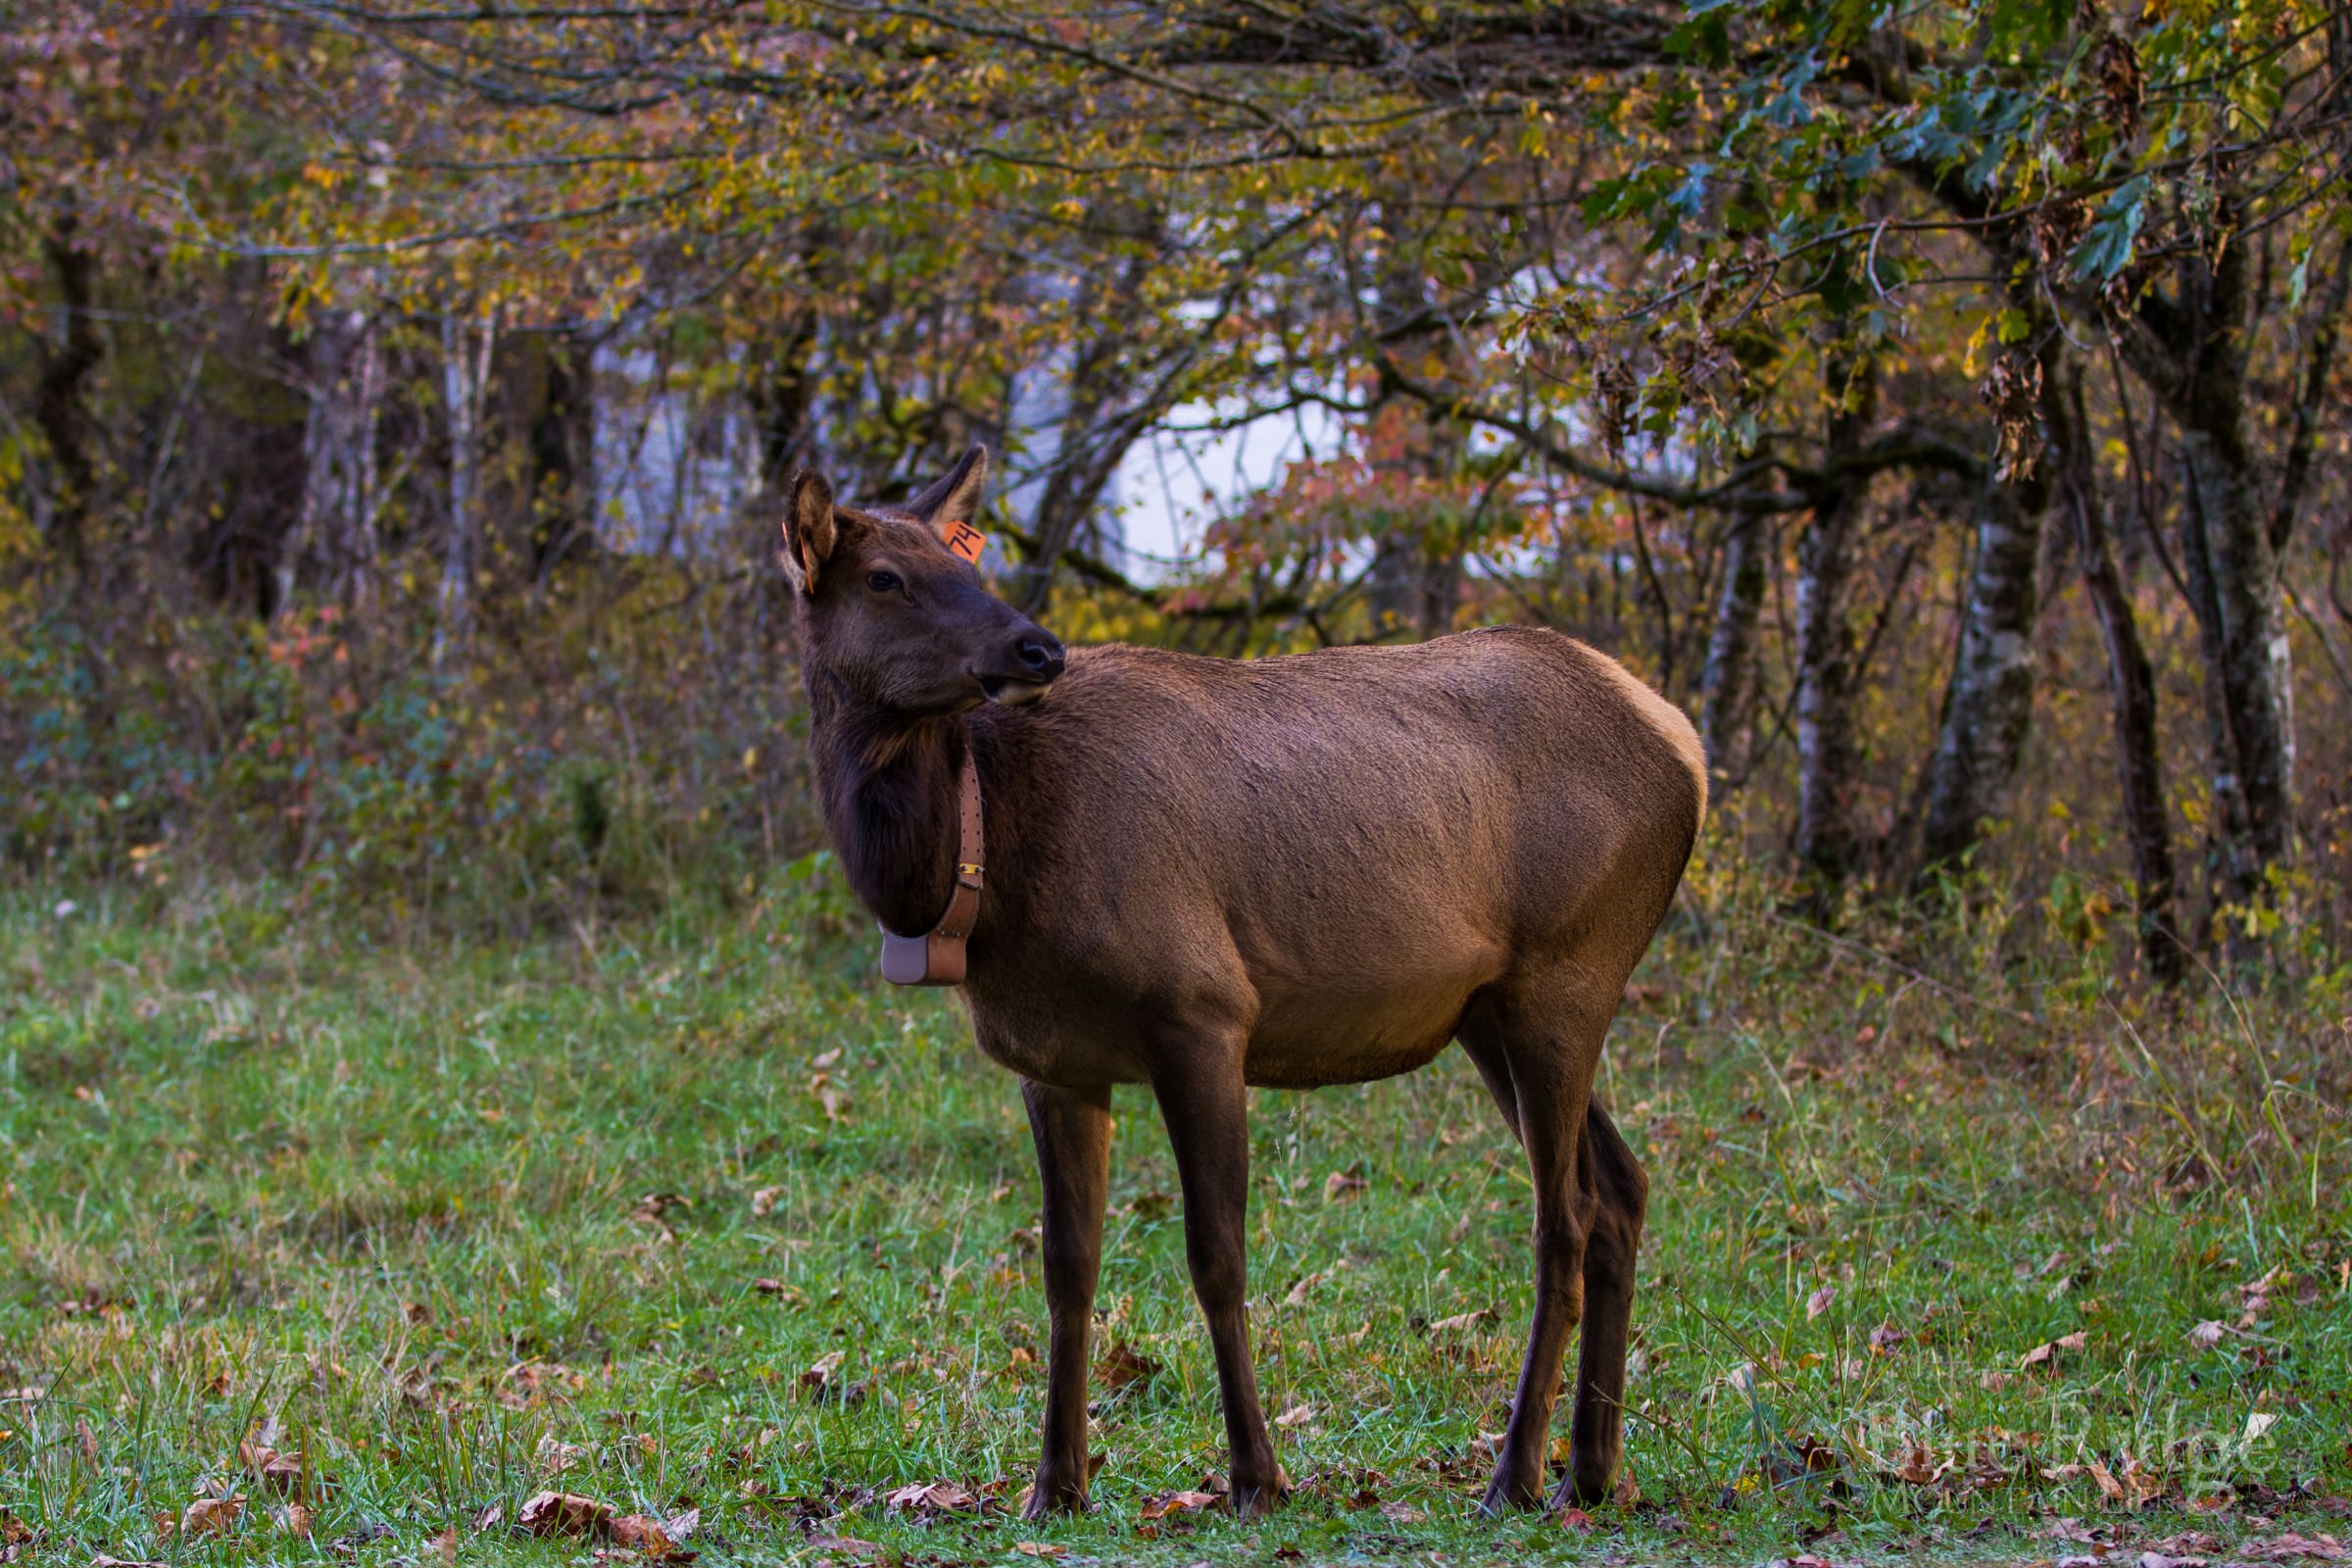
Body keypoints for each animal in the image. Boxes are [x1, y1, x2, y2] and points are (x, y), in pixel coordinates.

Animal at [781, 445, 1706, 1521]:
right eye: (887, 577)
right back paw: (1590, 1468)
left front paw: (1258, 1475)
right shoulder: (1052, 1061)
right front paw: (1057, 1483)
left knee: (1567, 1216)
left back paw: (1514, 1473)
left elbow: (1216, 1253)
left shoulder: (1204, 1011)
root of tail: (1686, 746)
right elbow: (1066, 1265)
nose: (1036, 649)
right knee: (1624, 1185)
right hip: (1494, 1009)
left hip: (1568, 970)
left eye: (964, 561)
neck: (983, 873)